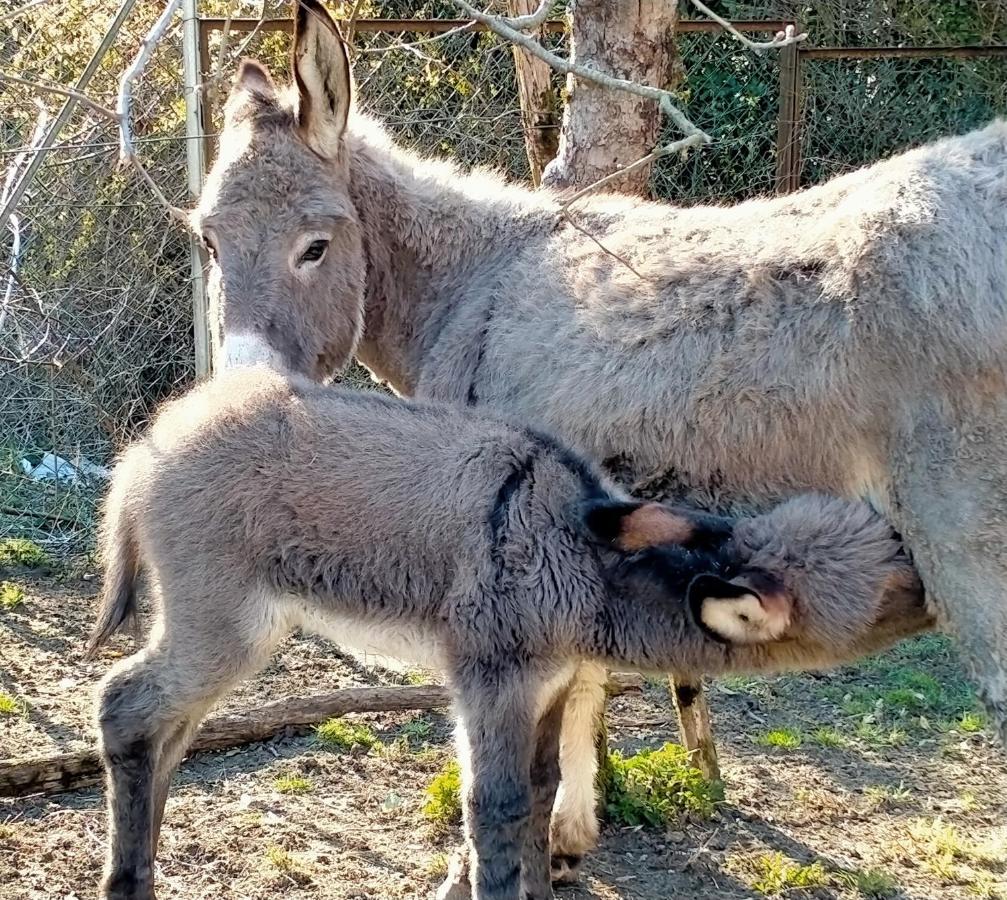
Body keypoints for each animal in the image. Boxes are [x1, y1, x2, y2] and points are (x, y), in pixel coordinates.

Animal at [86, 368, 922, 900]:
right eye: (888, 583)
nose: (934, 574)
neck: (580, 561)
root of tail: (149, 442)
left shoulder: (549, 686)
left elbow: (544, 790)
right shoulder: (494, 684)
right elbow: (496, 807)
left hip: (224, 631)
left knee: (168, 728)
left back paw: (146, 859)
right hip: (223, 622)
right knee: (126, 706)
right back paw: (127, 881)